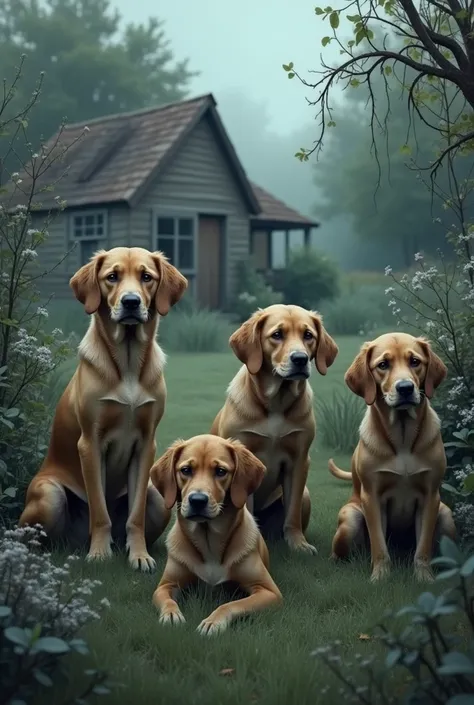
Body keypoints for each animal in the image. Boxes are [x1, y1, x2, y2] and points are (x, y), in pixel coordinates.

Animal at [19, 248, 187, 572]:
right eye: (112, 277)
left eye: (146, 277)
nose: (131, 302)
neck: (128, 361)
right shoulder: (90, 443)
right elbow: (99, 510)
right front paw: (99, 553)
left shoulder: (146, 445)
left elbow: (134, 517)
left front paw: (139, 555)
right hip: (49, 494)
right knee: (33, 540)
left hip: (159, 499)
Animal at [150, 432, 282, 636]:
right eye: (186, 470)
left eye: (220, 471)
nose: (197, 500)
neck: (209, 541)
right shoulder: (165, 585)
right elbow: (168, 600)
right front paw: (171, 615)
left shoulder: (269, 591)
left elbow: (232, 604)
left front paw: (213, 622)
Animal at [210, 306, 336, 552]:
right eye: (277, 335)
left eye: (308, 335)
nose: (300, 359)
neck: (276, 402)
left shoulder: (299, 461)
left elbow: (292, 513)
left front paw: (298, 543)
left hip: (306, 495)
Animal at [330, 332, 456, 580]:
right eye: (383, 365)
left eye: (415, 361)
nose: (405, 388)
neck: (402, 437)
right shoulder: (372, 497)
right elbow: (379, 546)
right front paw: (380, 577)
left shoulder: (430, 496)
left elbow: (423, 548)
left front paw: (424, 578)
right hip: (350, 520)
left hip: (446, 517)